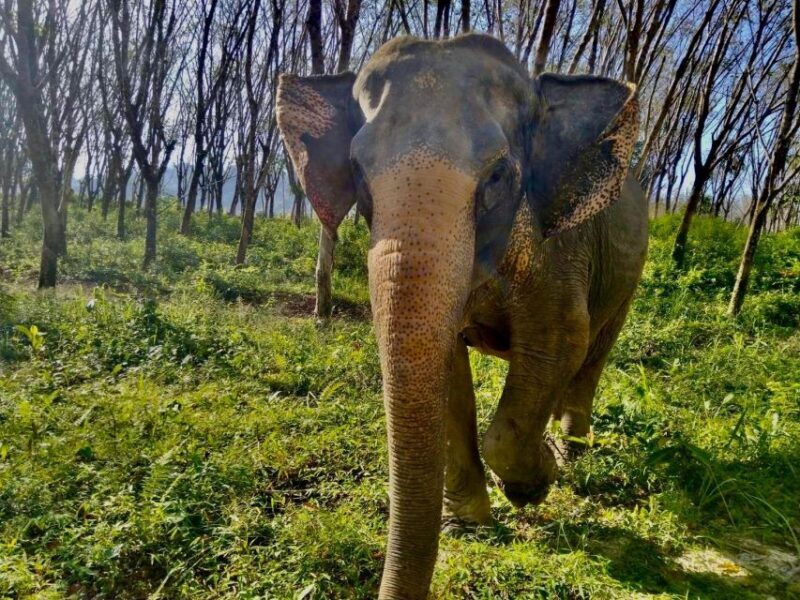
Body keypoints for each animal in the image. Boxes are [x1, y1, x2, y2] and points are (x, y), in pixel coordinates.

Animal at [276, 33, 647, 600]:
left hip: (629, 270)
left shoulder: (559, 253)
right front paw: (471, 525)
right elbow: (446, 371)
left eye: (498, 175)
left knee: (593, 353)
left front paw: (536, 482)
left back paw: (572, 452)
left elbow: (562, 341)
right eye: (358, 172)